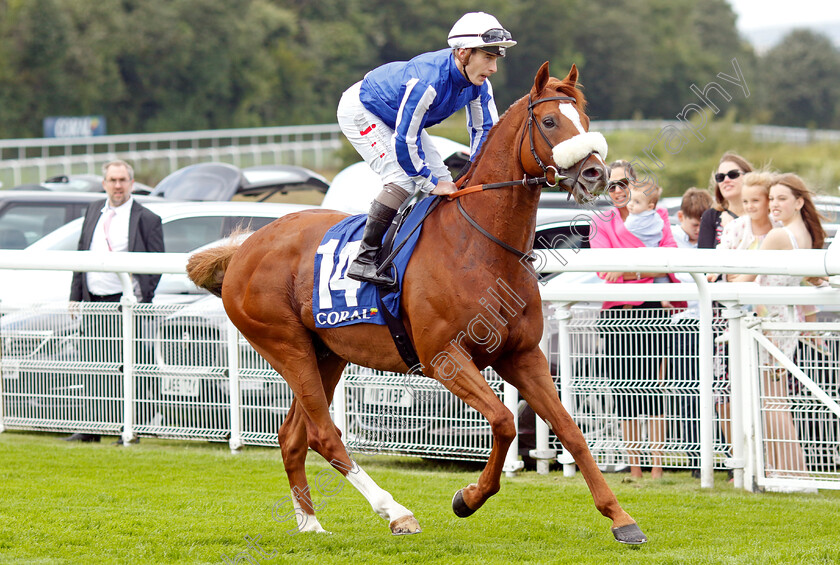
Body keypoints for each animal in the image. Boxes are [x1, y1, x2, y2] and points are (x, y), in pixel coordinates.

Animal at [187, 64, 648, 544]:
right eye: (551, 121)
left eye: (585, 119)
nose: (596, 174)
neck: (480, 245)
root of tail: (242, 250)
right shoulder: (444, 357)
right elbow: (503, 420)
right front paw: (467, 498)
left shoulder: (522, 354)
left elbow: (570, 431)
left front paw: (621, 518)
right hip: (285, 346)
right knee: (326, 433)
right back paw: (396, 512)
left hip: (326, 353)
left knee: (296, 434)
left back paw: (310, 522)